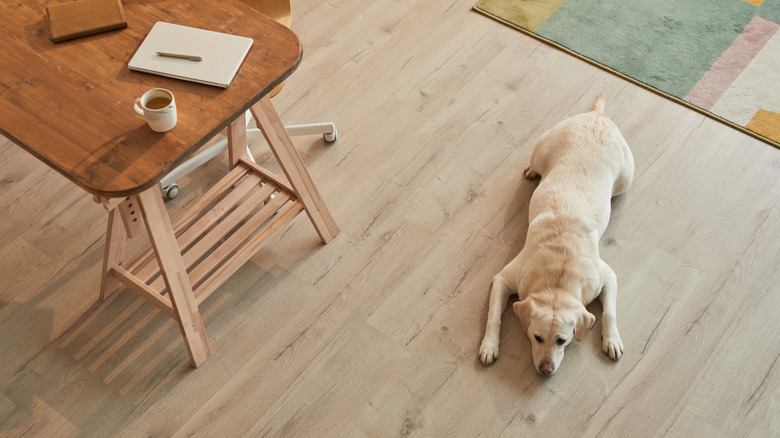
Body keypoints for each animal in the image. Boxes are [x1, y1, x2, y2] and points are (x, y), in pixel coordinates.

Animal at [476, 94, 632, 374]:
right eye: (536, 337)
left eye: (562, 341)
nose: (546, 370)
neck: (559, 273)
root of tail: (598, 115)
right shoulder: (503, 279)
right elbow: (493, 316)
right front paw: (489, 346)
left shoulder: (607, 276)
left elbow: (609, 311)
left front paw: (612, 339)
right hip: (541, 150)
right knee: (535, 162)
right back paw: (531, 170)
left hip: (626, 178)